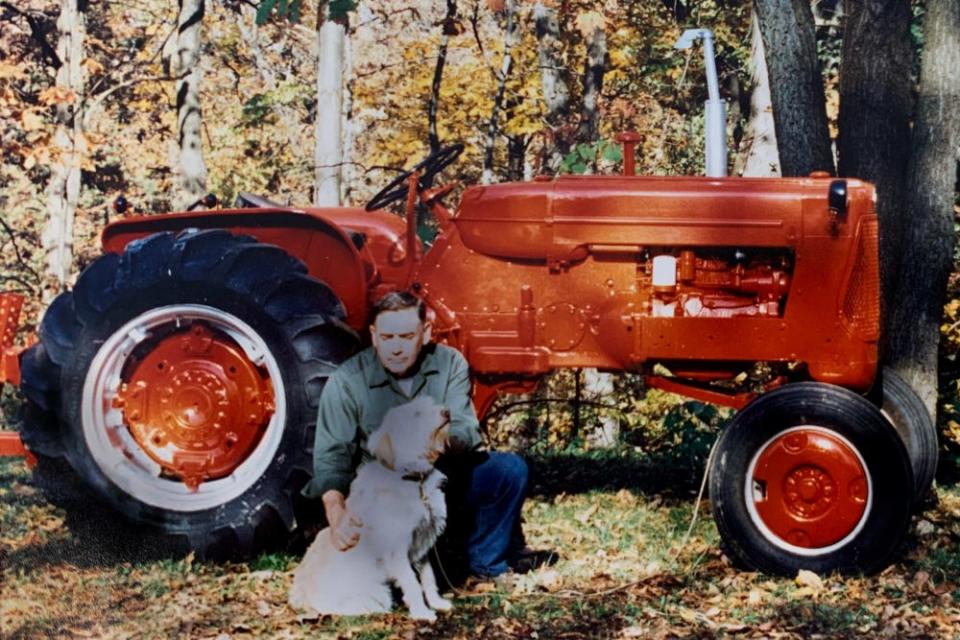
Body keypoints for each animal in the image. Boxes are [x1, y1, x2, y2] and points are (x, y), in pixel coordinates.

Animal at [288, 396, 454, 620]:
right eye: (417, 414)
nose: (447, 412)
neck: (412, 479)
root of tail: (302, 594)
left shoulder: (422, 542)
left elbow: (429, 576)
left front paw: (436, 602)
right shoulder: (397, 550)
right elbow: (412, 582)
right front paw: (422, 612)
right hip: (376, 592)